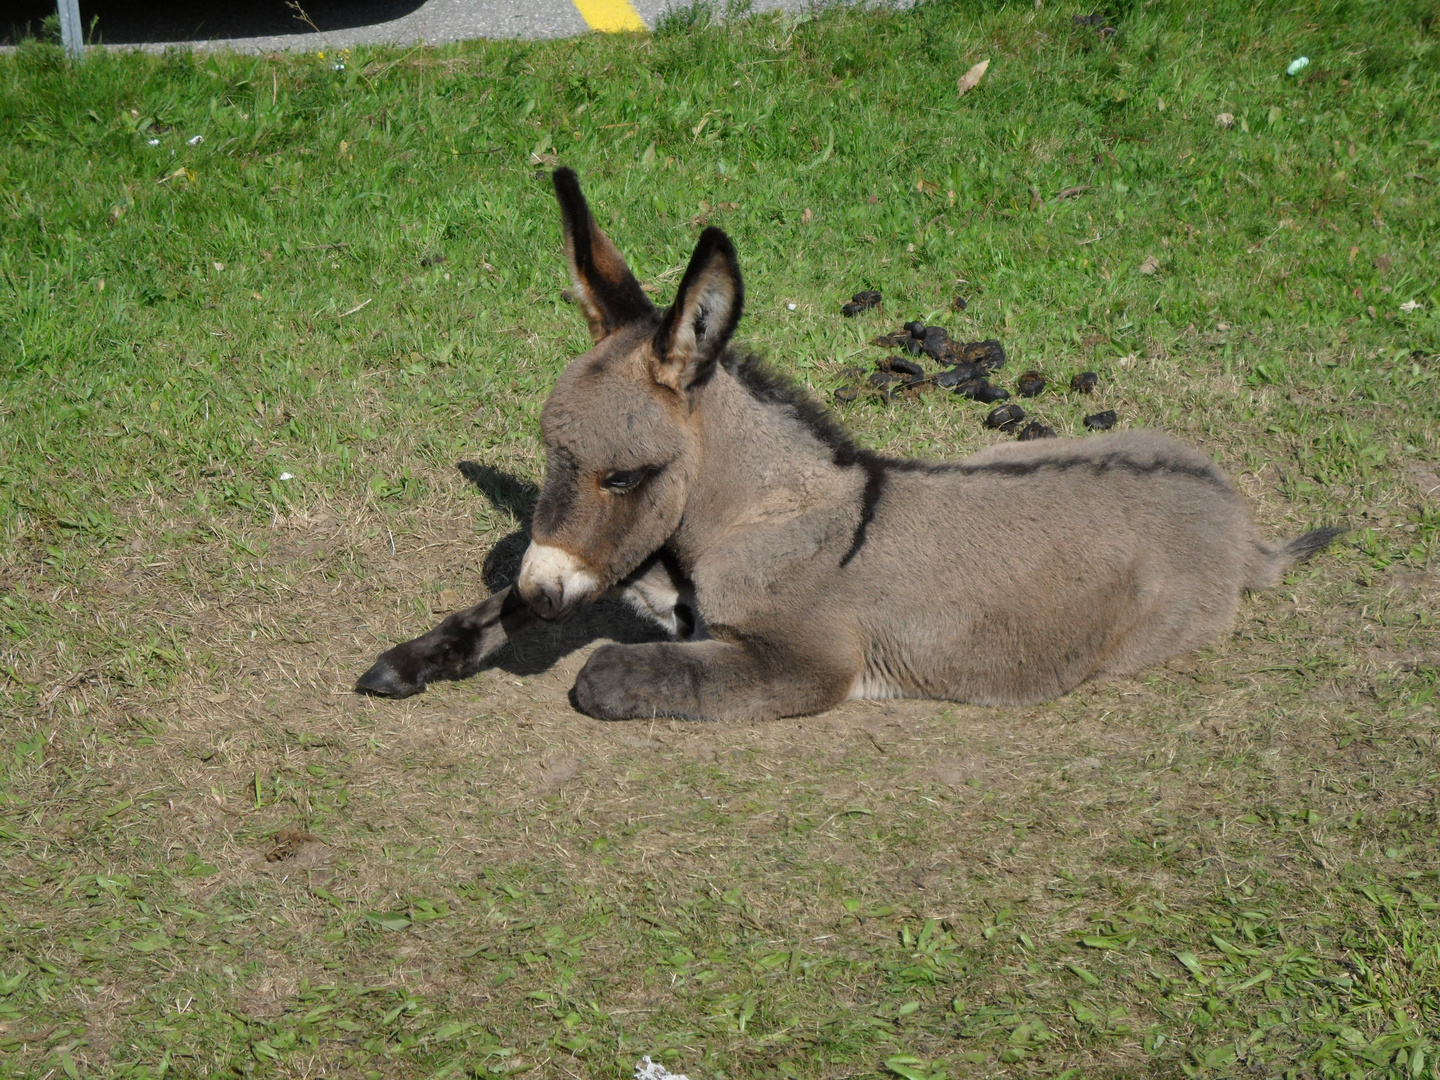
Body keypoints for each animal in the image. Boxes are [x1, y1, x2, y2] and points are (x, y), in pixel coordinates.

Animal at [357, 169, 1336, 722]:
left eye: (625, 475)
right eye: (548, 456)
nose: (545, 586)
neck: (752, 516)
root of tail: (1237, 518)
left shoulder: (806, 661)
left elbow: (601, 673)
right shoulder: (617, 571)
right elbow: (511, 607)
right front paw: (411, 660)